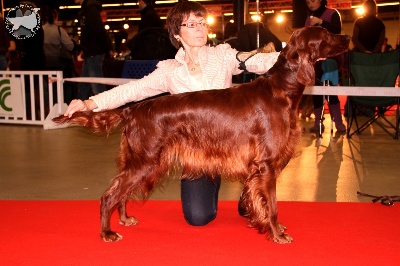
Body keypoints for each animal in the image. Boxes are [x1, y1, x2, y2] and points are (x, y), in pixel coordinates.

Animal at [54, 27, 350, 245]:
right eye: (325, 35)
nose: (347, 37)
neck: (281, 89)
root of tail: (132, 110)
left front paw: (264, 224)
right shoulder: (266, 165)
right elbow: (273, 204)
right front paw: (277, 233)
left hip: (141, 161)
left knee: (121, 192)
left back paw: (125, 219)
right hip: (145, 161)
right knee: (109, 194)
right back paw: (107, 232)